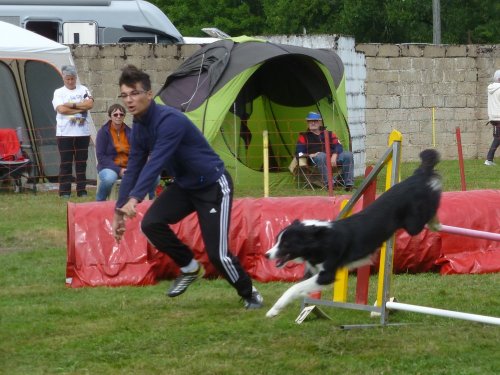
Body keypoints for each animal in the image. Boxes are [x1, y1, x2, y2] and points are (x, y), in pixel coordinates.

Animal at [266, 148, 442, 318]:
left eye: (286, 244)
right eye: (276, 240)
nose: (267, 255)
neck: (319, 240)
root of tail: (417, 177)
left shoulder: (327, 274)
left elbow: (294, 288)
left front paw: (273, 310)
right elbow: (300, 287)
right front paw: (276, 309)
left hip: (413, 224)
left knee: (432, 203)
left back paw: (436, 211)